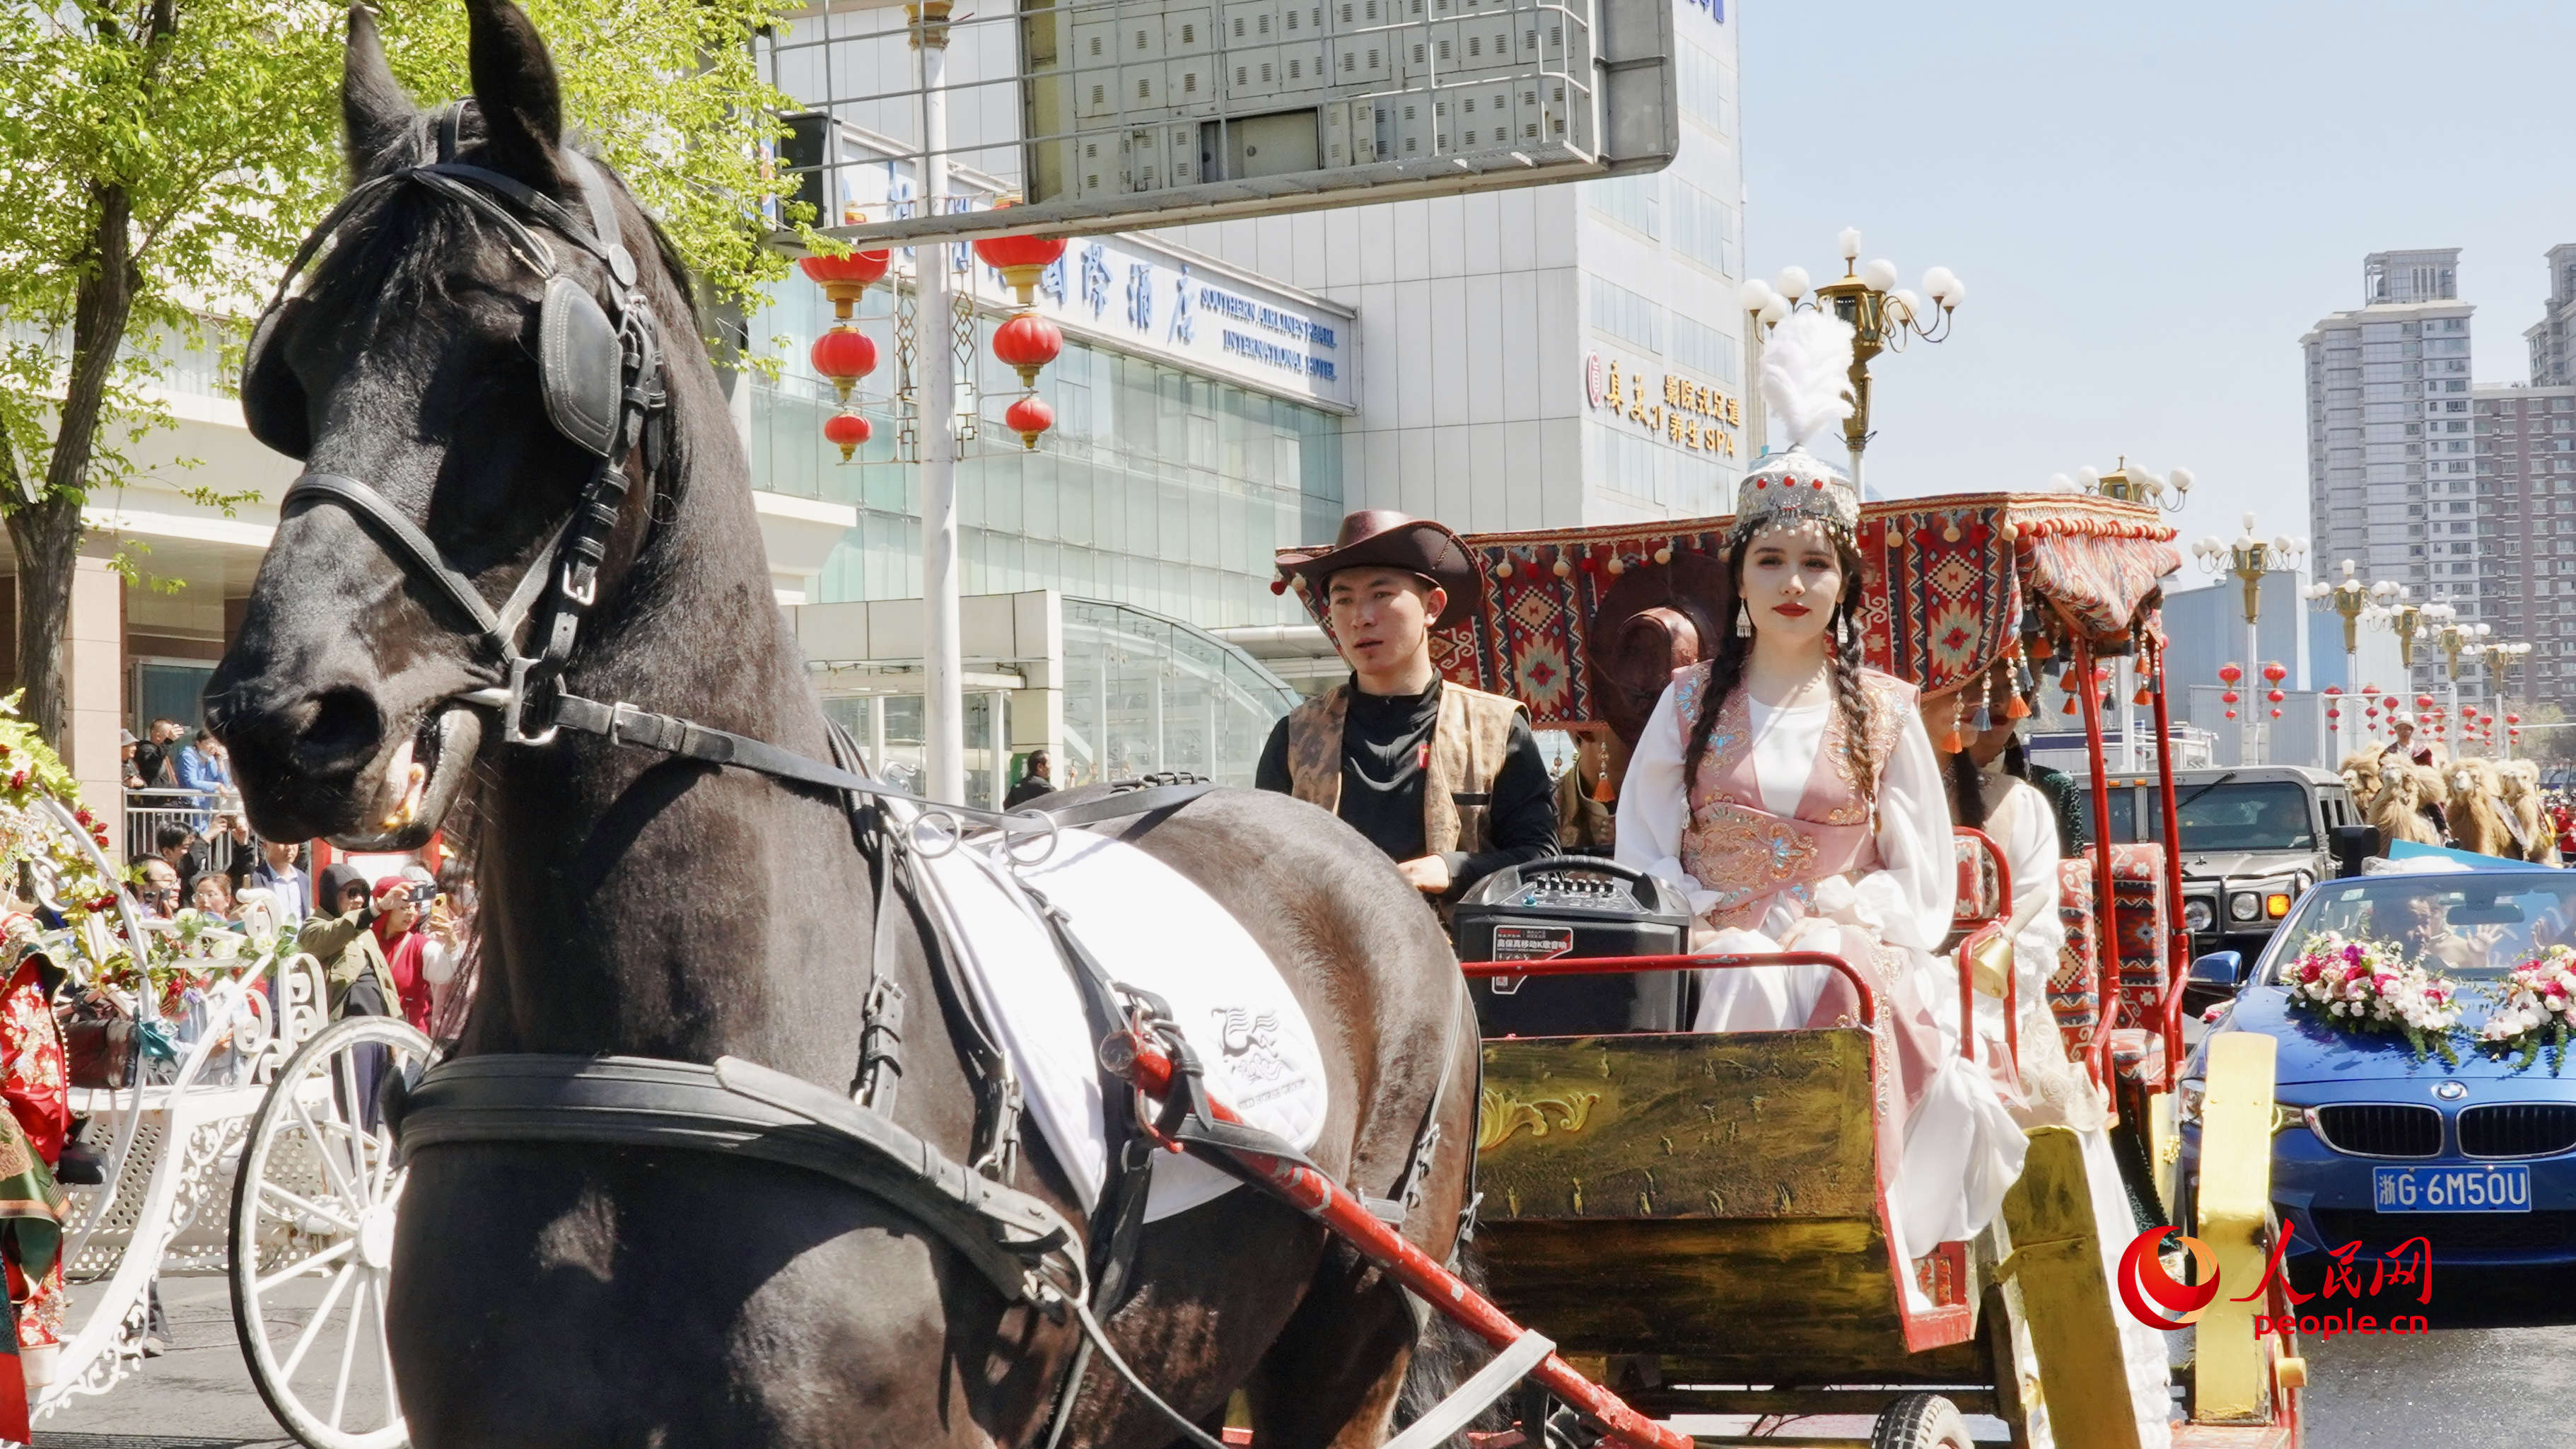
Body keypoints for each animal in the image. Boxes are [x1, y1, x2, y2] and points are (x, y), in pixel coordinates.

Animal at [206, 5, 1473, 1433]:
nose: (286, 719)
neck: (649, 1060)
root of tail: (1353, 859)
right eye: (292, 376)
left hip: (1355, 1328)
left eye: (518, 355)